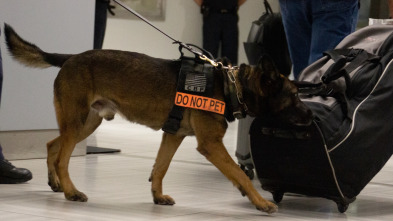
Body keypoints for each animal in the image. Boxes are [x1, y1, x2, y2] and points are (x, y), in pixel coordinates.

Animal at [2, 23, 310, 214]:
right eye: (295, 95)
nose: (310, 114)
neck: (231, 86)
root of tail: (71, 57)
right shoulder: (211, 145)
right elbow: (239, 174)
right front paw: (260, 202)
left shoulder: (173, 136)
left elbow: (161, 167)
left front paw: (157, 195)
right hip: (78, 122)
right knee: (62, 157)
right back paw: (71, 191)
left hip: (85, 124)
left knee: (52, 145)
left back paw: (55, 183)